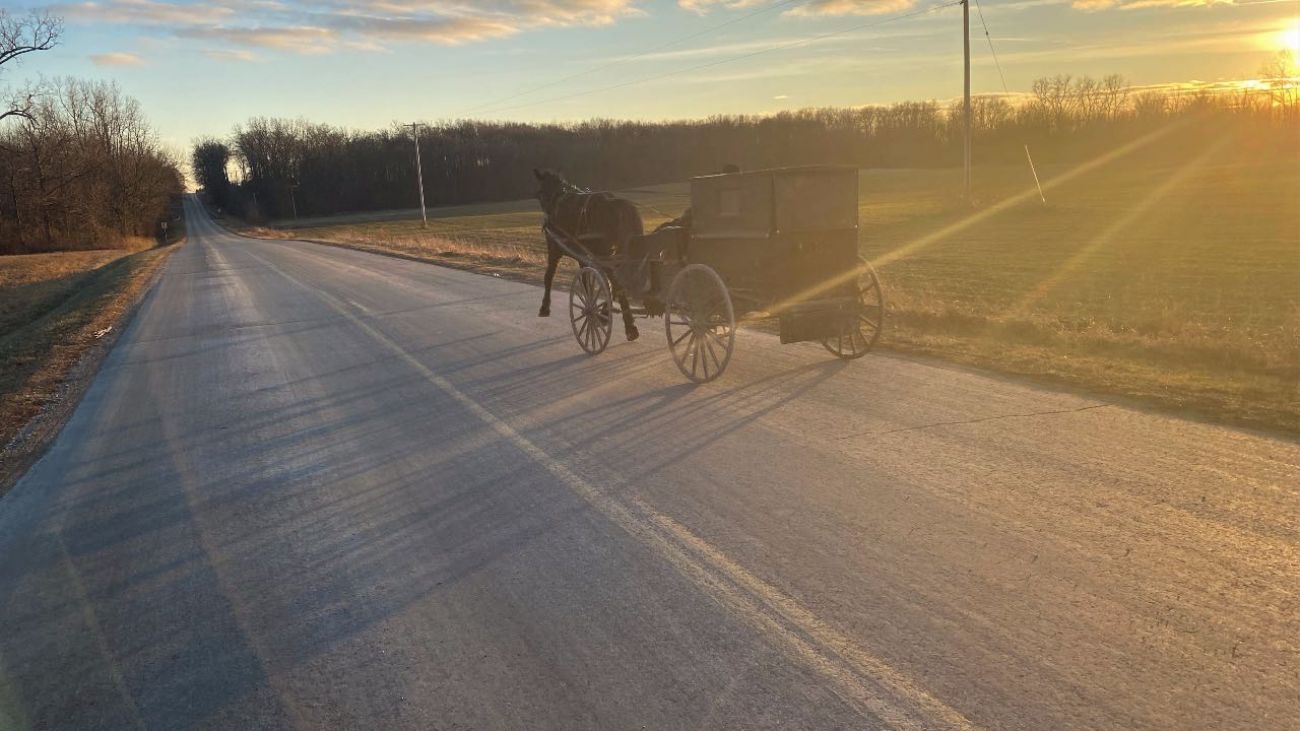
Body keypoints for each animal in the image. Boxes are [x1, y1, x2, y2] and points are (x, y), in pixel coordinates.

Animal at [533, 169, 644, 340]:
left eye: (540, 192)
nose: (546, 216)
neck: (557, 197)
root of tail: (618, 204)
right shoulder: (582, 257)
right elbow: (586, 281)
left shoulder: (554, 249)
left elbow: (549, 276)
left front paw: (544, 307)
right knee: (617, 281)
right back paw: (607, 315)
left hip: (604, 252)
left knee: (616, 281)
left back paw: (628, 326)